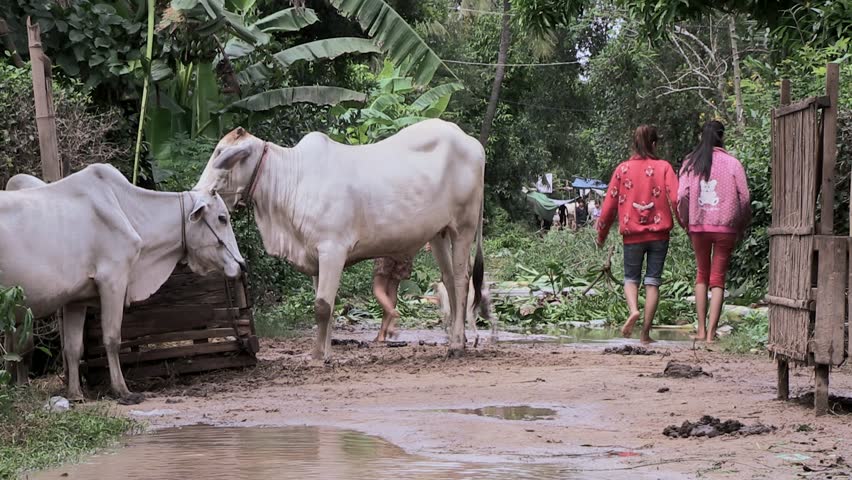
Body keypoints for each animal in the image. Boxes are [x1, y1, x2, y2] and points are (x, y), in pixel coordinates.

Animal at [2, 165, 246, 402]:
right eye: (222, 218)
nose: (242, 265)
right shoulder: (113, 281)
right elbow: (112, 338)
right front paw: (122, 391)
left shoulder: (76, 300)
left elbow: (73, 347)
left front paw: (75, 395)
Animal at [195, 120, 486, 360]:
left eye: (221, 154)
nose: (199, 194)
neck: (291, 180)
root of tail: (472, 142)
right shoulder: (315, 256)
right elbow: (328, 306)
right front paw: (323, 353)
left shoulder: (332, 251)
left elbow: (322, 306)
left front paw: (318, 356)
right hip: (439, 233)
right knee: (449, 280)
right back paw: (456, 340)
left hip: (464, 227)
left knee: (461, 280)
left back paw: (457, 345)